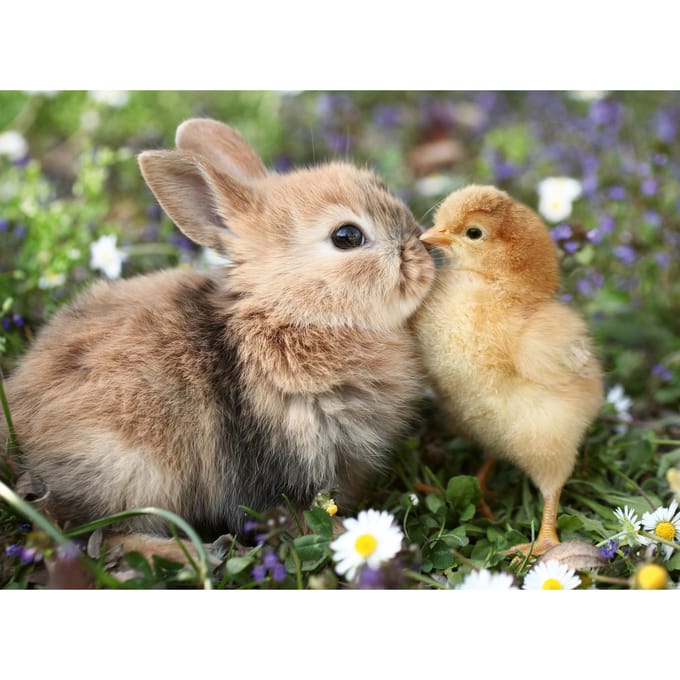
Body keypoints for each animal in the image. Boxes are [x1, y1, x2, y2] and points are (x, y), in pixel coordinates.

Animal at [1, 118, 435, 564]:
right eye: (347, 236)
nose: (422, 252)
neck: (288, 311)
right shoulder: (278, 466)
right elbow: (296, 516)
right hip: (130, 468)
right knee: (101, 538)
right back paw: (202, 553)